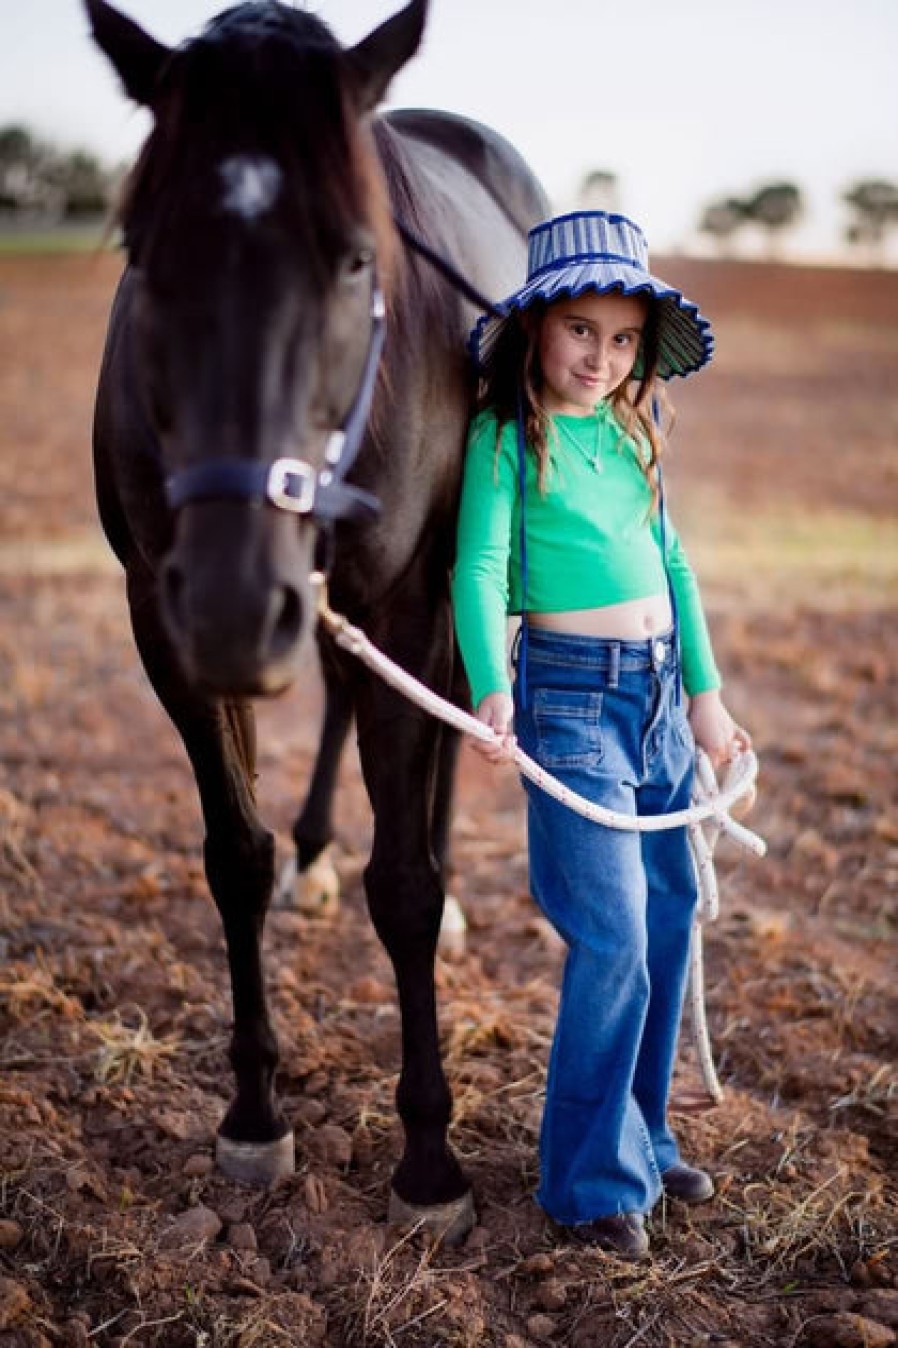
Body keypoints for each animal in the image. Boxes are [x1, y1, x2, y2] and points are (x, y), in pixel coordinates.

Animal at [85, 0, 544, 1234]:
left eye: (352, 257)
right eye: (143, 247)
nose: (236, 602)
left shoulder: (410, 599)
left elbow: (406, 887)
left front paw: (429, 1163)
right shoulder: (163, 620)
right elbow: (232, 856)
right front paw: (254, 1115)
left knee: (450, 733)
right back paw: (316, 855)